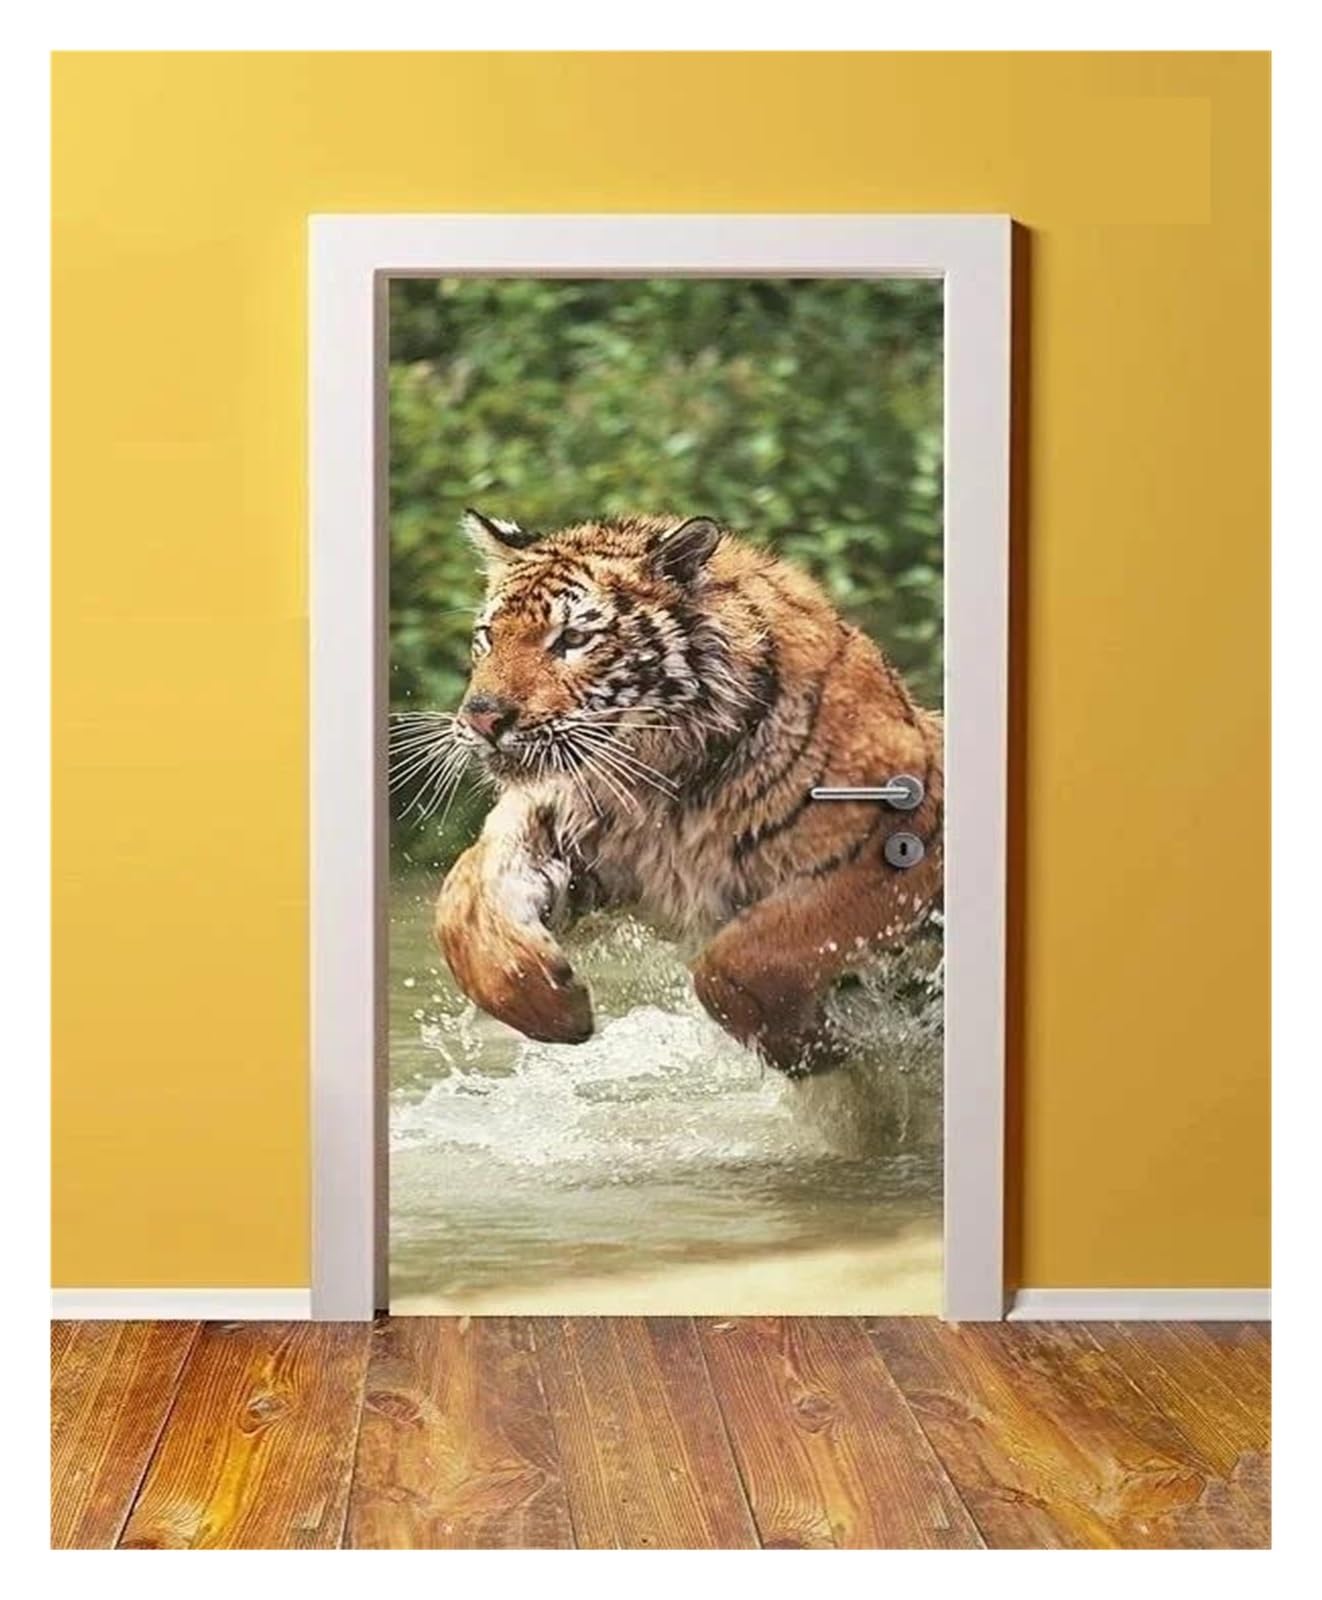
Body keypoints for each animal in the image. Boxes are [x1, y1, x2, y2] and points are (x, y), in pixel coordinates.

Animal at [431, 509, 943, 1076]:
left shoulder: (897, 848)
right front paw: (553, 1008)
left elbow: (740, 958)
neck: (658, 785)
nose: (481, 717)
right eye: (488, 636)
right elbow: (460, 904)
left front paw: (812, 1048)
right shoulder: (565, 829)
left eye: (573, 638)